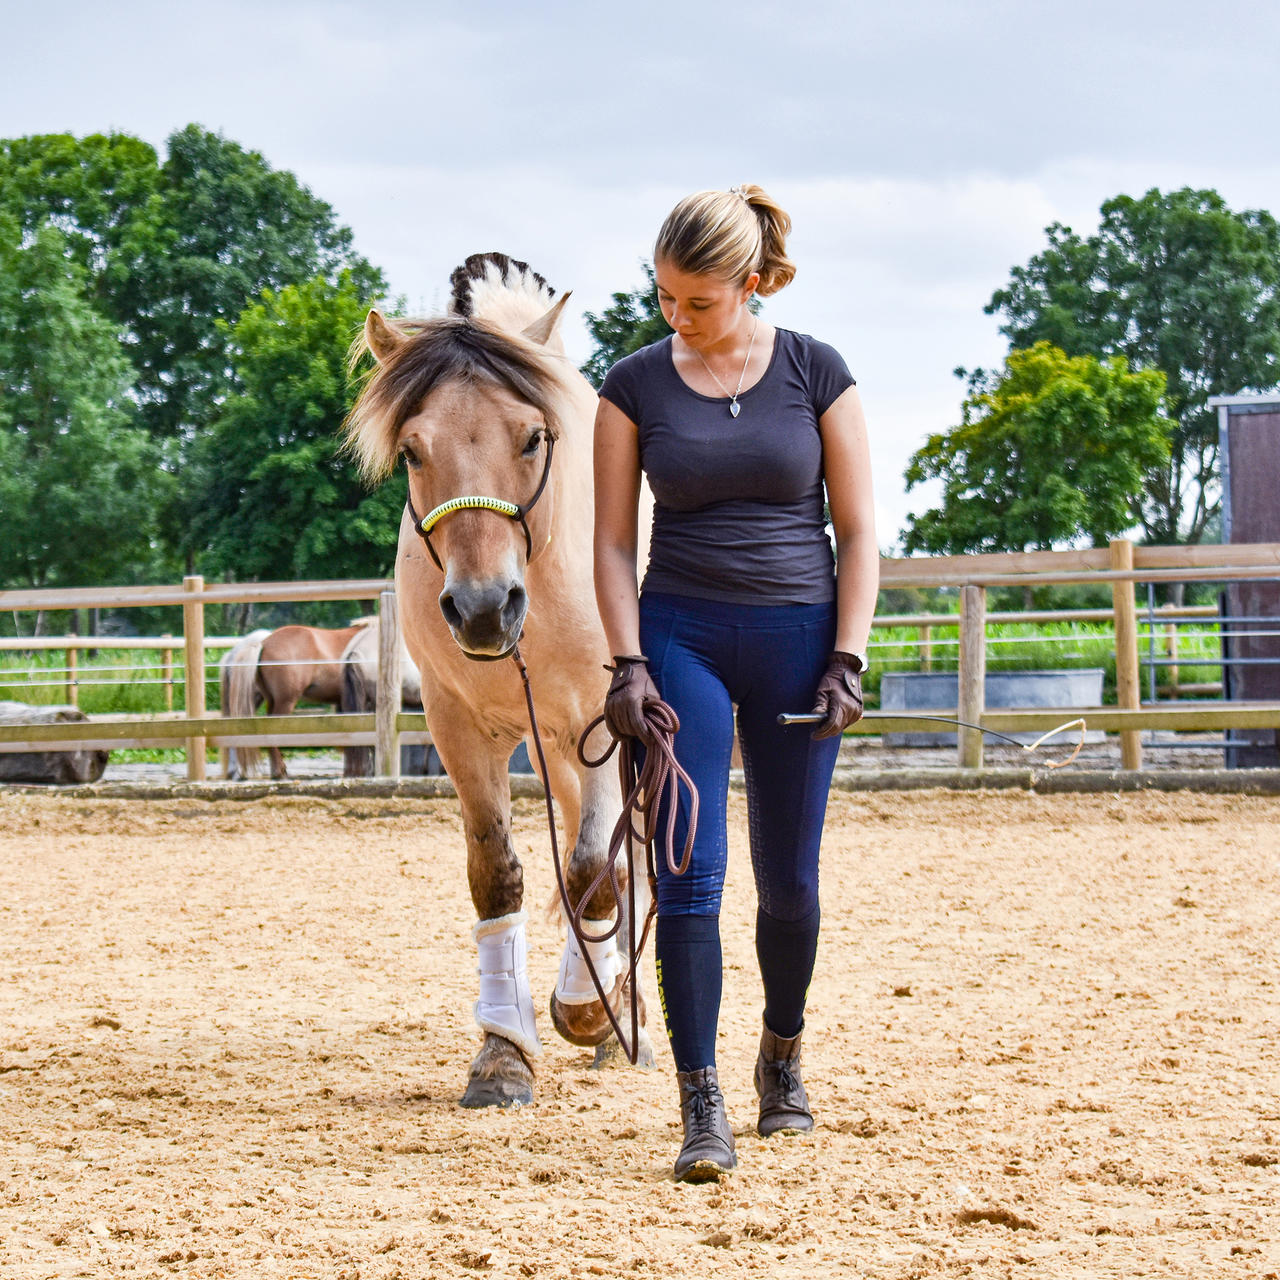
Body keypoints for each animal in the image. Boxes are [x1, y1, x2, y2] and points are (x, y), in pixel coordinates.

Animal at [345, 252, 655, 1111]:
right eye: (412, 451)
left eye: (533, 437)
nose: (485, 607)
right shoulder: (461, 728)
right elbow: (499, 875)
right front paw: (502, 1054)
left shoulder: (606, 720)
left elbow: (592, 870)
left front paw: (582, 1009)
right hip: (557, 750)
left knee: (629, 858)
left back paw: (626, 1019)